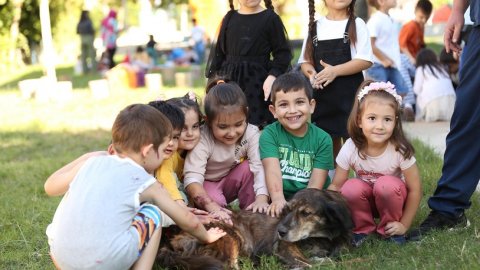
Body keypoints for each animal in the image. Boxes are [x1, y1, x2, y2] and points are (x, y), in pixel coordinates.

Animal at [157, 189, 352, 268]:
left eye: (306, 213)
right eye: (288, 209)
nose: (280, 232)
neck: (320, 237)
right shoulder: (284, 249)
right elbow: (320, 263)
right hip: (230, 236)